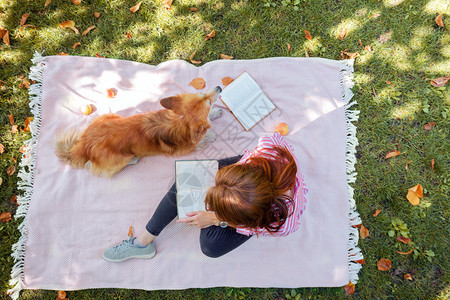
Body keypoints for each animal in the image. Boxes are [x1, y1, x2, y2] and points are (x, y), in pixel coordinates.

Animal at [55, 85, 223, 177]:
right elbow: (204, 136)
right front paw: (211, 134)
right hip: (121, 158)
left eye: (202, 94)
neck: (179, 121)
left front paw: (215, 114)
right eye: (207, 100)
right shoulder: (190, 146)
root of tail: (84, 145)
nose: (219, 87)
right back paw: (133, 160)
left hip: (109, 116)